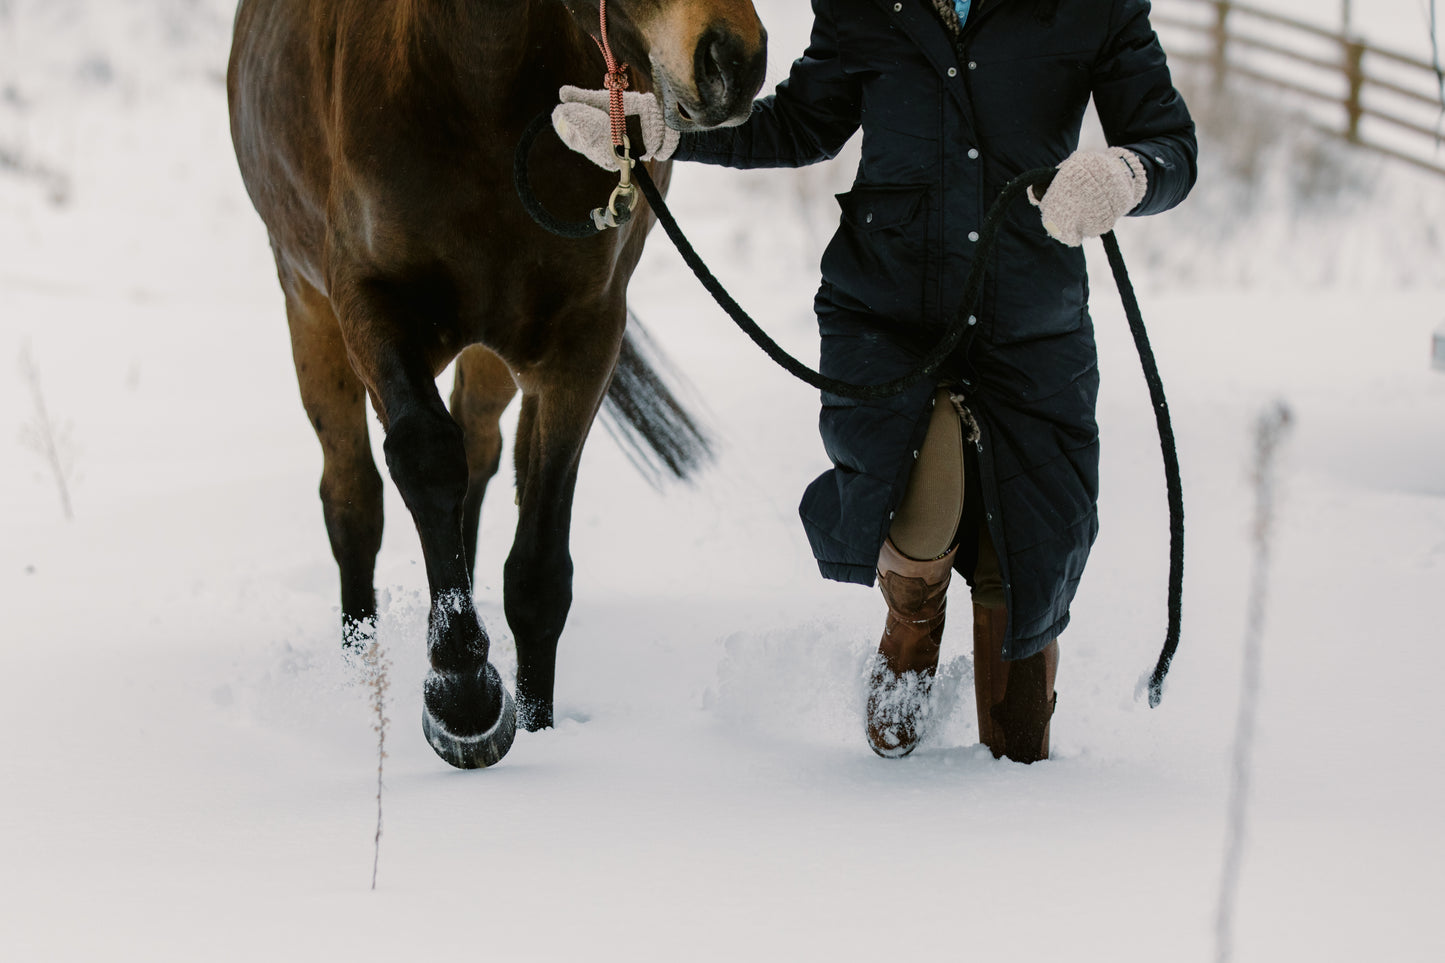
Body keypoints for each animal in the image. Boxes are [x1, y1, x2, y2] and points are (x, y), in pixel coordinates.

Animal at [227, 0, 767, 768]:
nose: (733, 59)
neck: (474, 81)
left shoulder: (581, 338)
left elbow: (539, 564)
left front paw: (533, 724)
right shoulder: (366, 299)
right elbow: (423, 456)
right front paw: (462, 697)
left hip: (488, 350)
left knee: (477, 449)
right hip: (306, 304)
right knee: (353, 493)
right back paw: (361, 670)